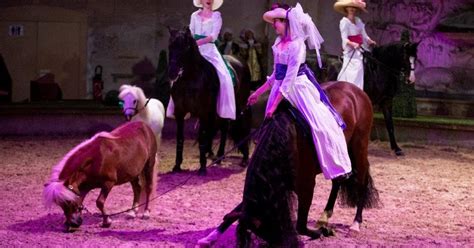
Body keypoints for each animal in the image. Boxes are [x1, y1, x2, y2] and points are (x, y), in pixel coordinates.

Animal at [168, 27, 254, 174]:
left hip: (240, 104)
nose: (172, 73)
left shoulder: (203, 112)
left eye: (185, 47)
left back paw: (243, 158)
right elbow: (180, 138)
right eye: (170, 46)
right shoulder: (180, 112)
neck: (190, 79)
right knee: (224, 127)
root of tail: (240, 61)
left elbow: (202, 137)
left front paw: (202, 167)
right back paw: (219, 157)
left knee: (241, 127)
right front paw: (177, 166)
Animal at [198, 81, 380, 246]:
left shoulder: (306, 185)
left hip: (359, 147)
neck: (287, 140)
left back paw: (355, 223)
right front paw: (210, 237)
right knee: (338, 180)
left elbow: (301, 226)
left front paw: (322, 232)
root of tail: (355, 90)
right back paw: (325, 216)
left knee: (362, 182)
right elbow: (235, 211)